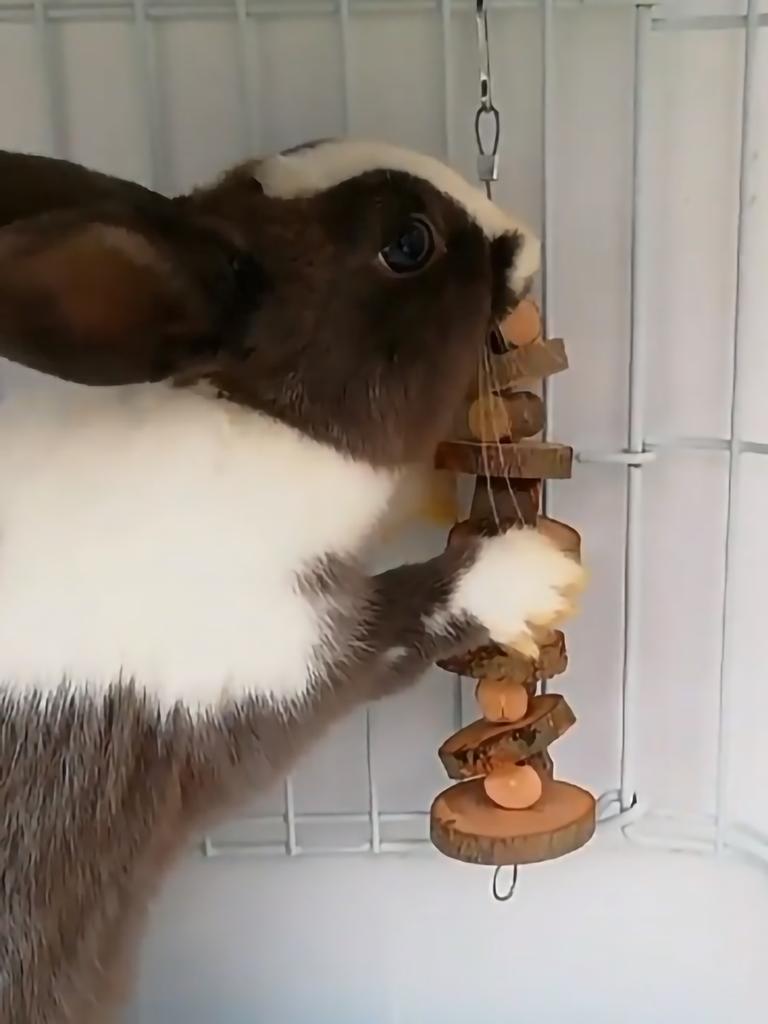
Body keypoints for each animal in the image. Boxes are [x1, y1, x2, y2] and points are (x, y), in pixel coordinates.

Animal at [0, 140, 584, 1023]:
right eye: (407, 244)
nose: (523, 241)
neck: (262, 426)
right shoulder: (278, 660)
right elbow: (405, 619)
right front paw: (534, 576)